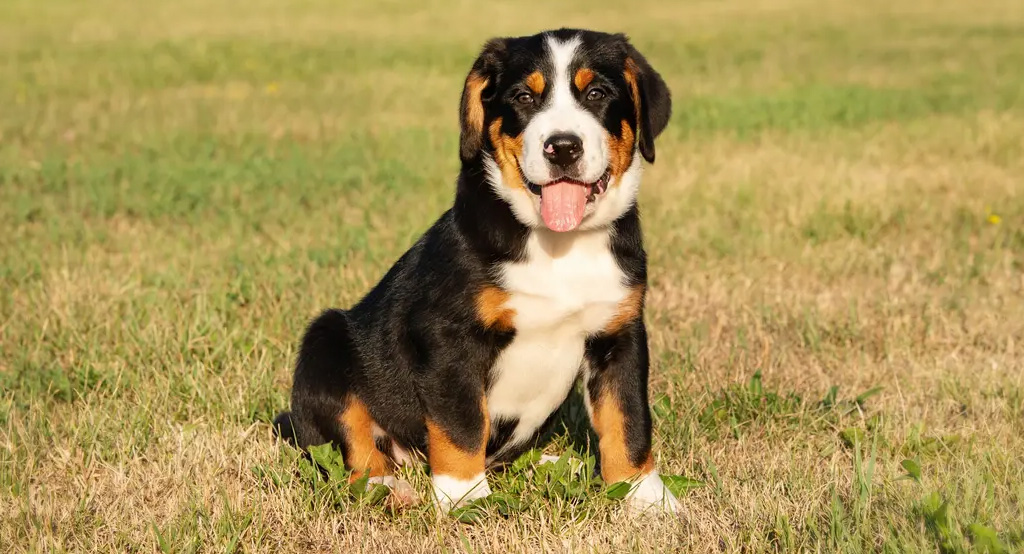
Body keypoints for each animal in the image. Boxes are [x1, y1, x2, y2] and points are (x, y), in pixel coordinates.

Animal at [274, 28, 679, 514]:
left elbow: (628, 419)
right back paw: (388, 487)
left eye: (597, 93)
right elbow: (462, 422)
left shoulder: (619, 334)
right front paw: (463, 497)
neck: (559, 244)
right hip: (325, 342)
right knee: (351, 445)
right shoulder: (450, 336)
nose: (562, 147)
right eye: (524, 96)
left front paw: (645, 495)